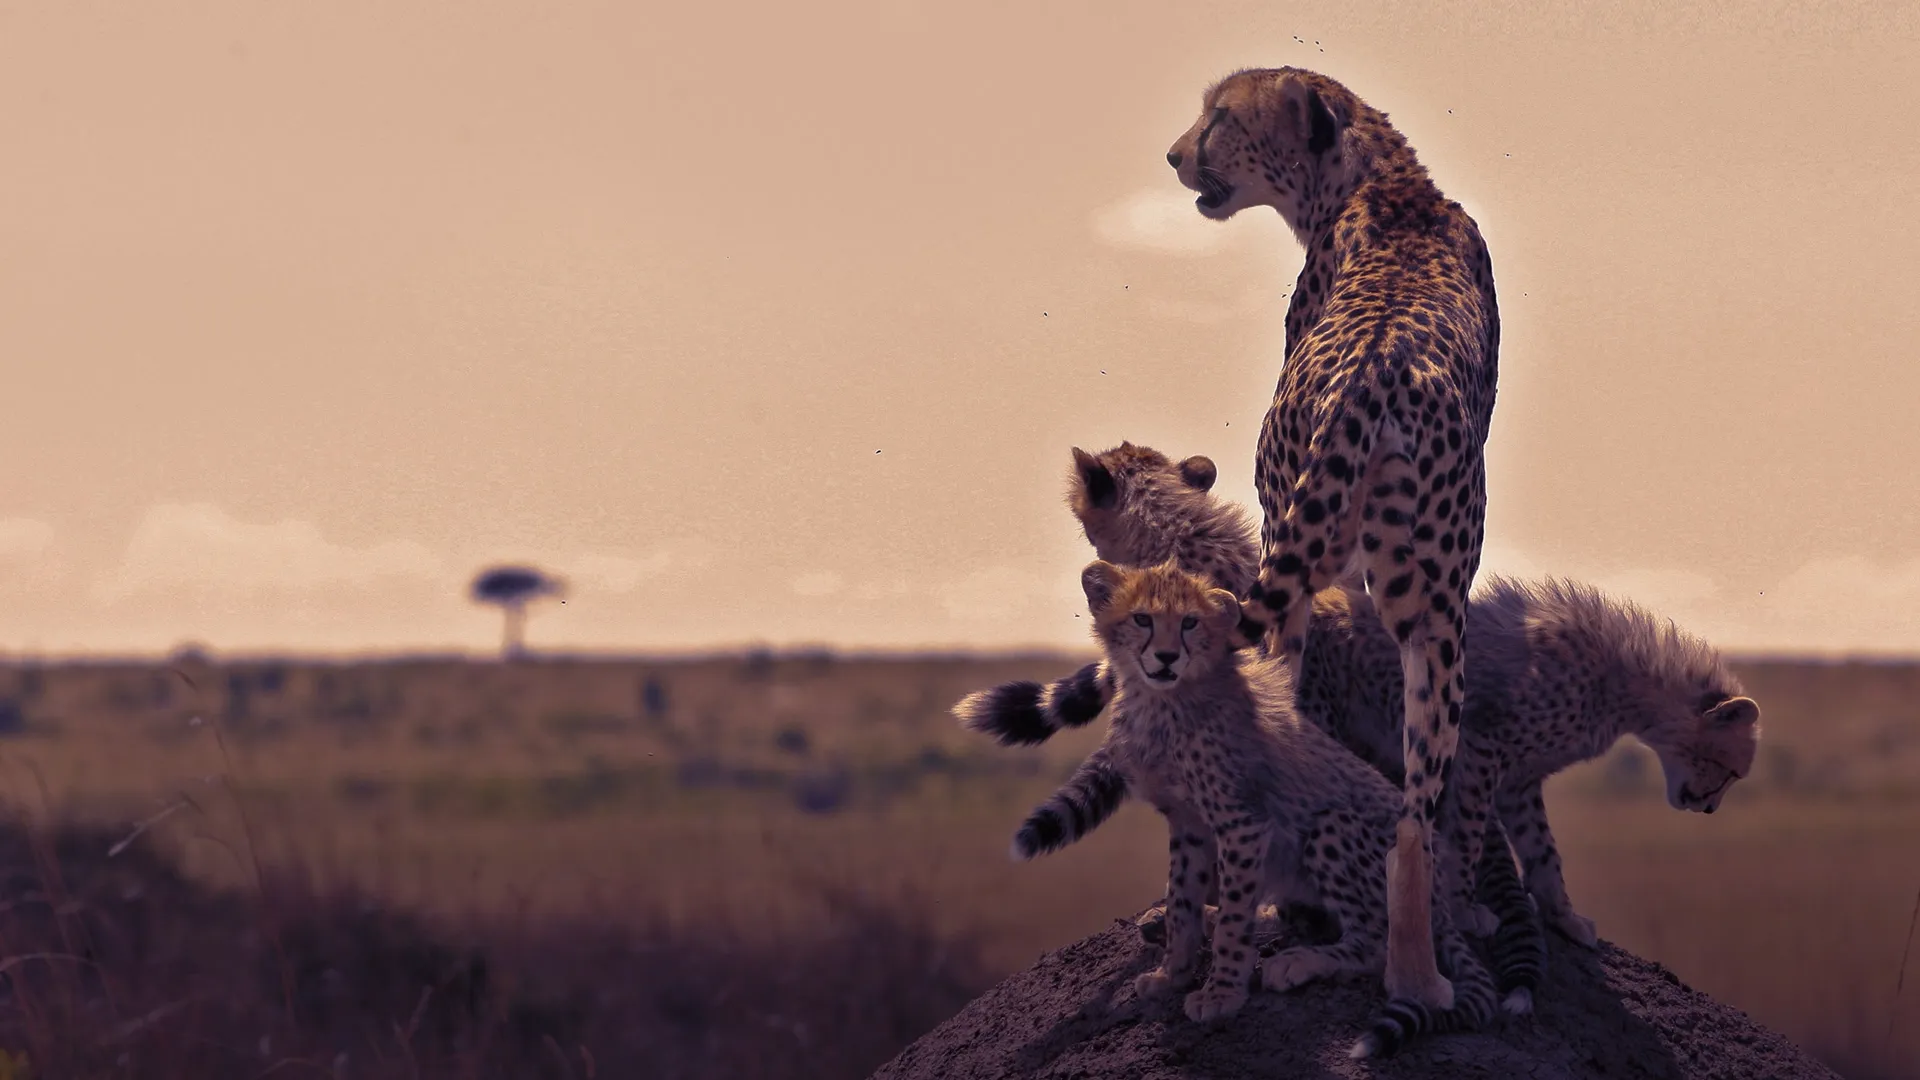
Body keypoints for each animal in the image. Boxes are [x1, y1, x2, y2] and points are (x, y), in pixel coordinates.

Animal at [1069, 555, 1499, 1058]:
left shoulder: (1243, 824)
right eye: (1142, 619)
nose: (1167, 657)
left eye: (1190, 623)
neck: (1161, 701)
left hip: (1336, 828)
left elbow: (1235, 916)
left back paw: (1298, 963)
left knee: (1376, 941)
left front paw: (1222, 993)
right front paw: (1170, 975)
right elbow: (1181, 901)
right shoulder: (1189, 823)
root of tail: (1441, 905)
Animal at [1165, 66, 1504, 1008]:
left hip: (1298, 562)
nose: (1173, 154)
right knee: (1415, 815)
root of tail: (1377, 371)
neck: (1380, 179)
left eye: (1220, 118)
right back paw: (1419, 978)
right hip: (1441, 615)